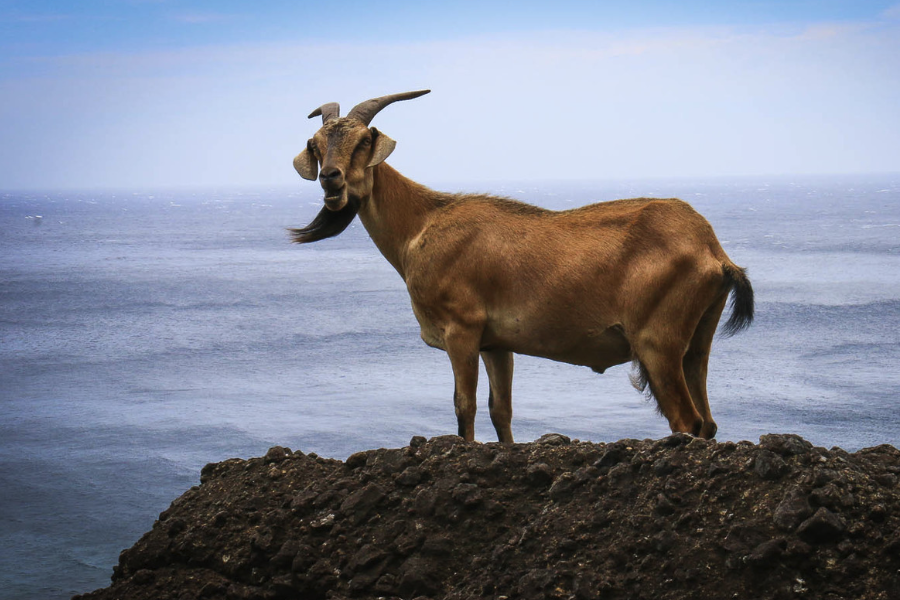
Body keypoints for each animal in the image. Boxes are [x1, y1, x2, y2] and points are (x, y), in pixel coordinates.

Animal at [290, 91, 752, 442]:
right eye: (316, 144)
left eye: (362, 142)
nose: (331, 179)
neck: (420, 227)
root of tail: (714, 252)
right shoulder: (497, 343)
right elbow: (501, 410)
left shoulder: (462, 328)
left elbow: (464, 406)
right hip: (697, 340)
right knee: (707, 420)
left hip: (657, 339)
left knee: (687, 421)